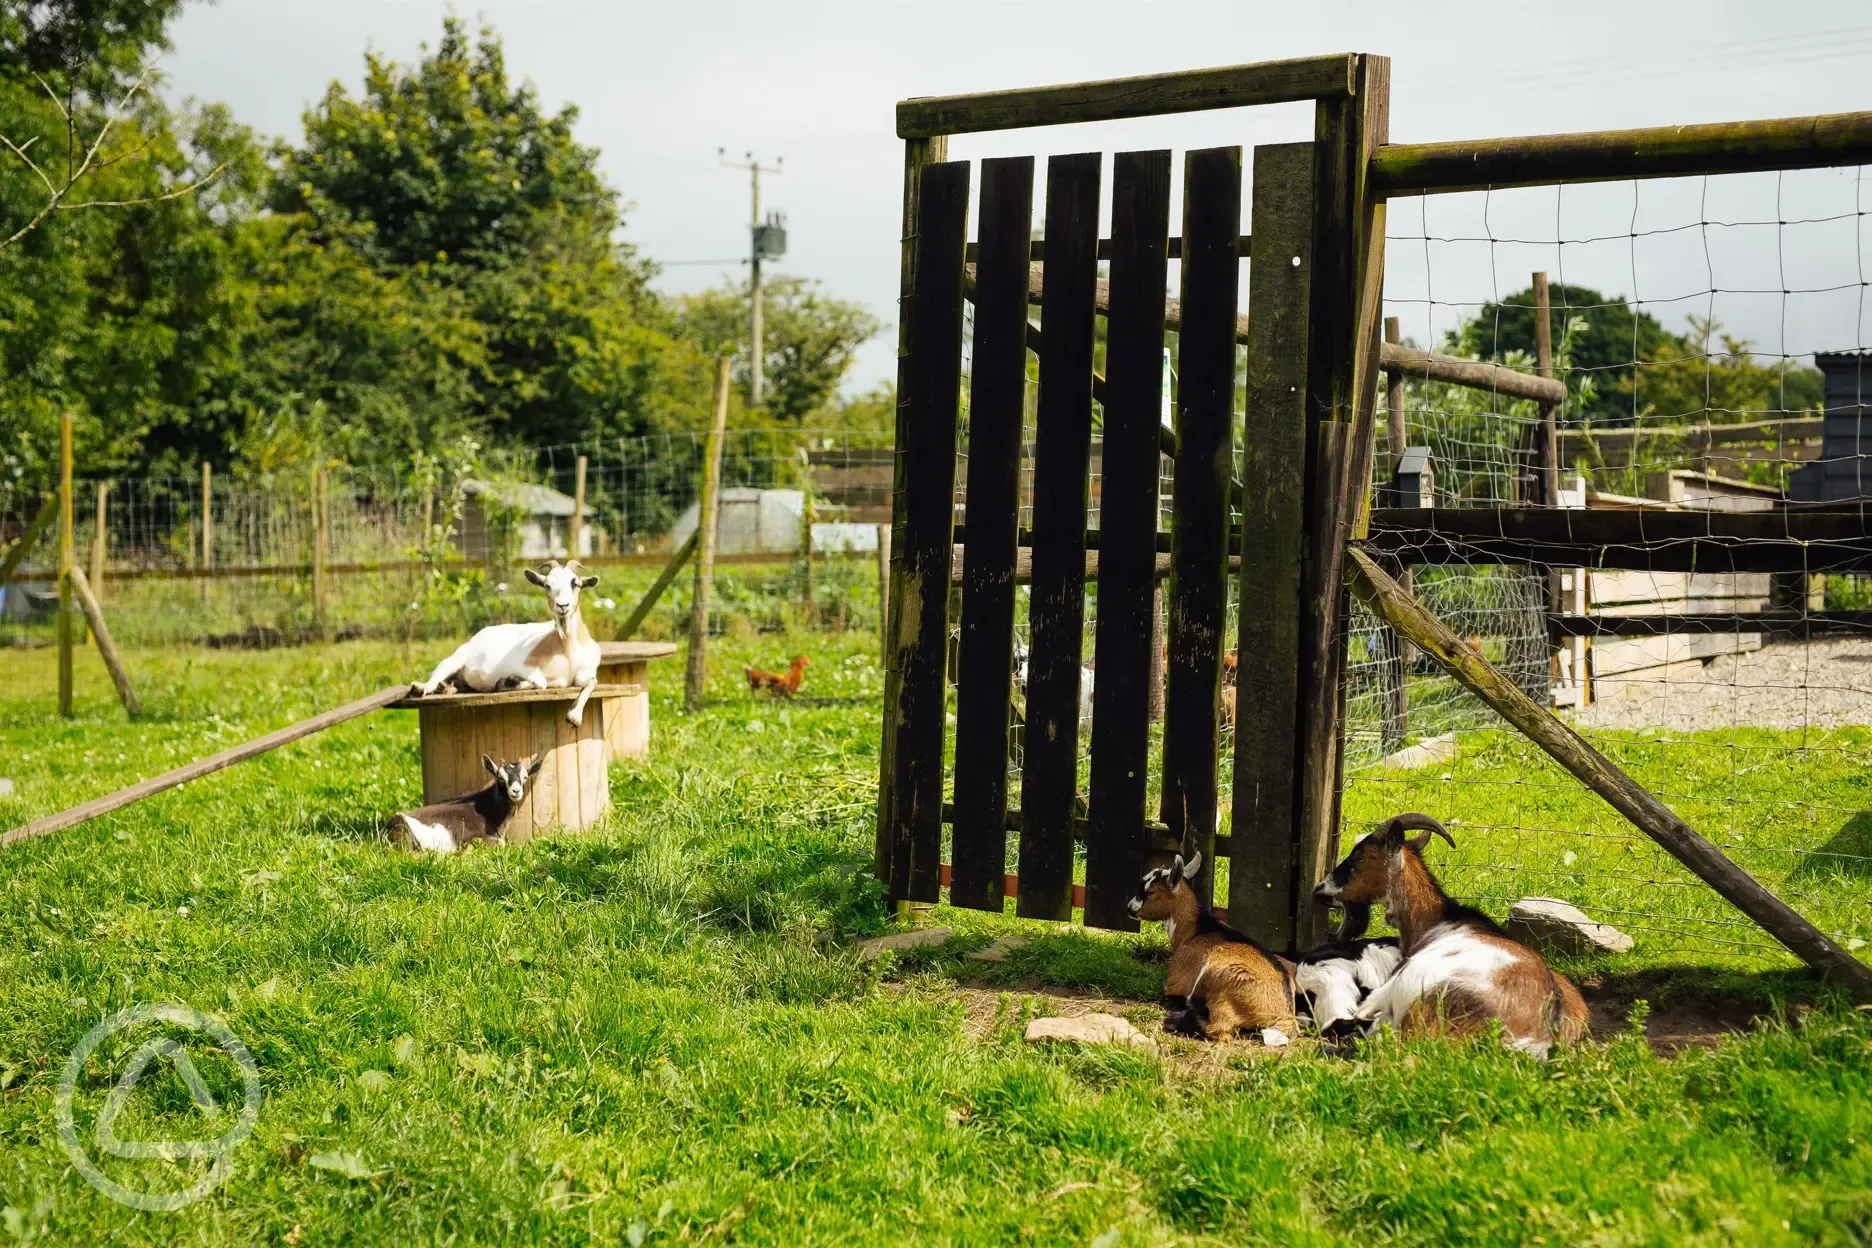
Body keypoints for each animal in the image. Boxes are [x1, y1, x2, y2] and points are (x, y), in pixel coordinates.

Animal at [386, 753, 541, 853]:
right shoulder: (473, 838)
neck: (487, 809)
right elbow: (501, 844)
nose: (516, 791)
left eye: (525, 778)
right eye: (501, 778)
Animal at [414, 561, 603, 726]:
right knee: (439, 671)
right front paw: (506, 681)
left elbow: (592, 682)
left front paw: (574, 717)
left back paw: (447, 688)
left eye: (576, 583)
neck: (568, 650)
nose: (562, 605)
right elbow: (540, 682)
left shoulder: (585, 673)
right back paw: (420, 688)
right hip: (458, 657)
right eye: (547, 585)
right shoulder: (524, 666)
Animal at [1129, 851, 1298, 1044]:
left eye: (1150, 892)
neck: (1195, 930)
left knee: (1220, 1030)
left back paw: (1175, 1020)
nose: (1129, 908)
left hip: (1222, 984)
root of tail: (1284, 1016)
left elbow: (1166, 988)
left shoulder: (1176, 980)